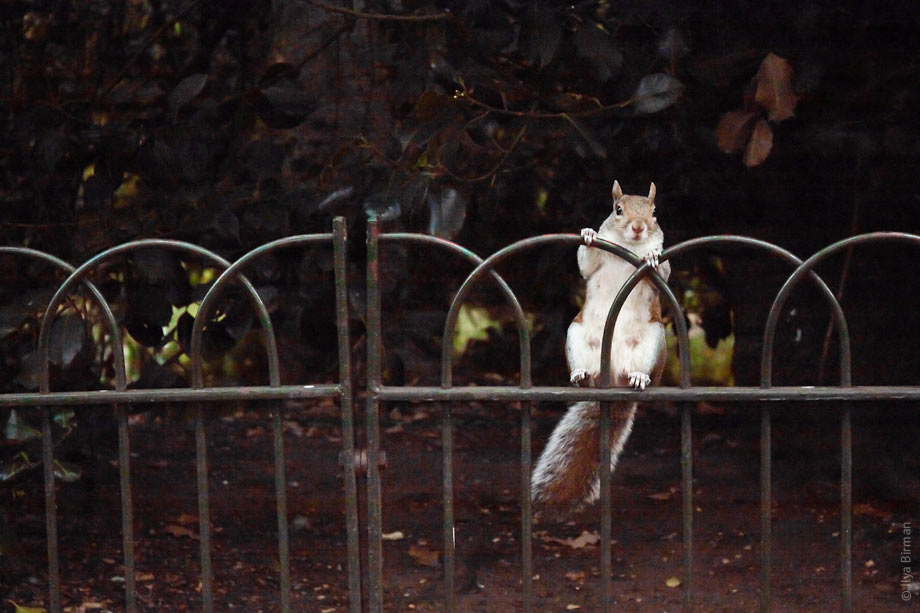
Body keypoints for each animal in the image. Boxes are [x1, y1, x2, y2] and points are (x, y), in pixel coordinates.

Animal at [532, 180, 671, 513]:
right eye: (617, 209)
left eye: (654, 212)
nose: (638, 227)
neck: (630, 247)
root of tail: (614, 379)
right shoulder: (592, 266)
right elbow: (586, 265)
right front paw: (588, 234)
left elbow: (664, 273)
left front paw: (653, 255)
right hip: (576, 334)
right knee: (585, 372)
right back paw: (580, 374)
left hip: (655, 339)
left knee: (645, 373)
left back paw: (640, 377)